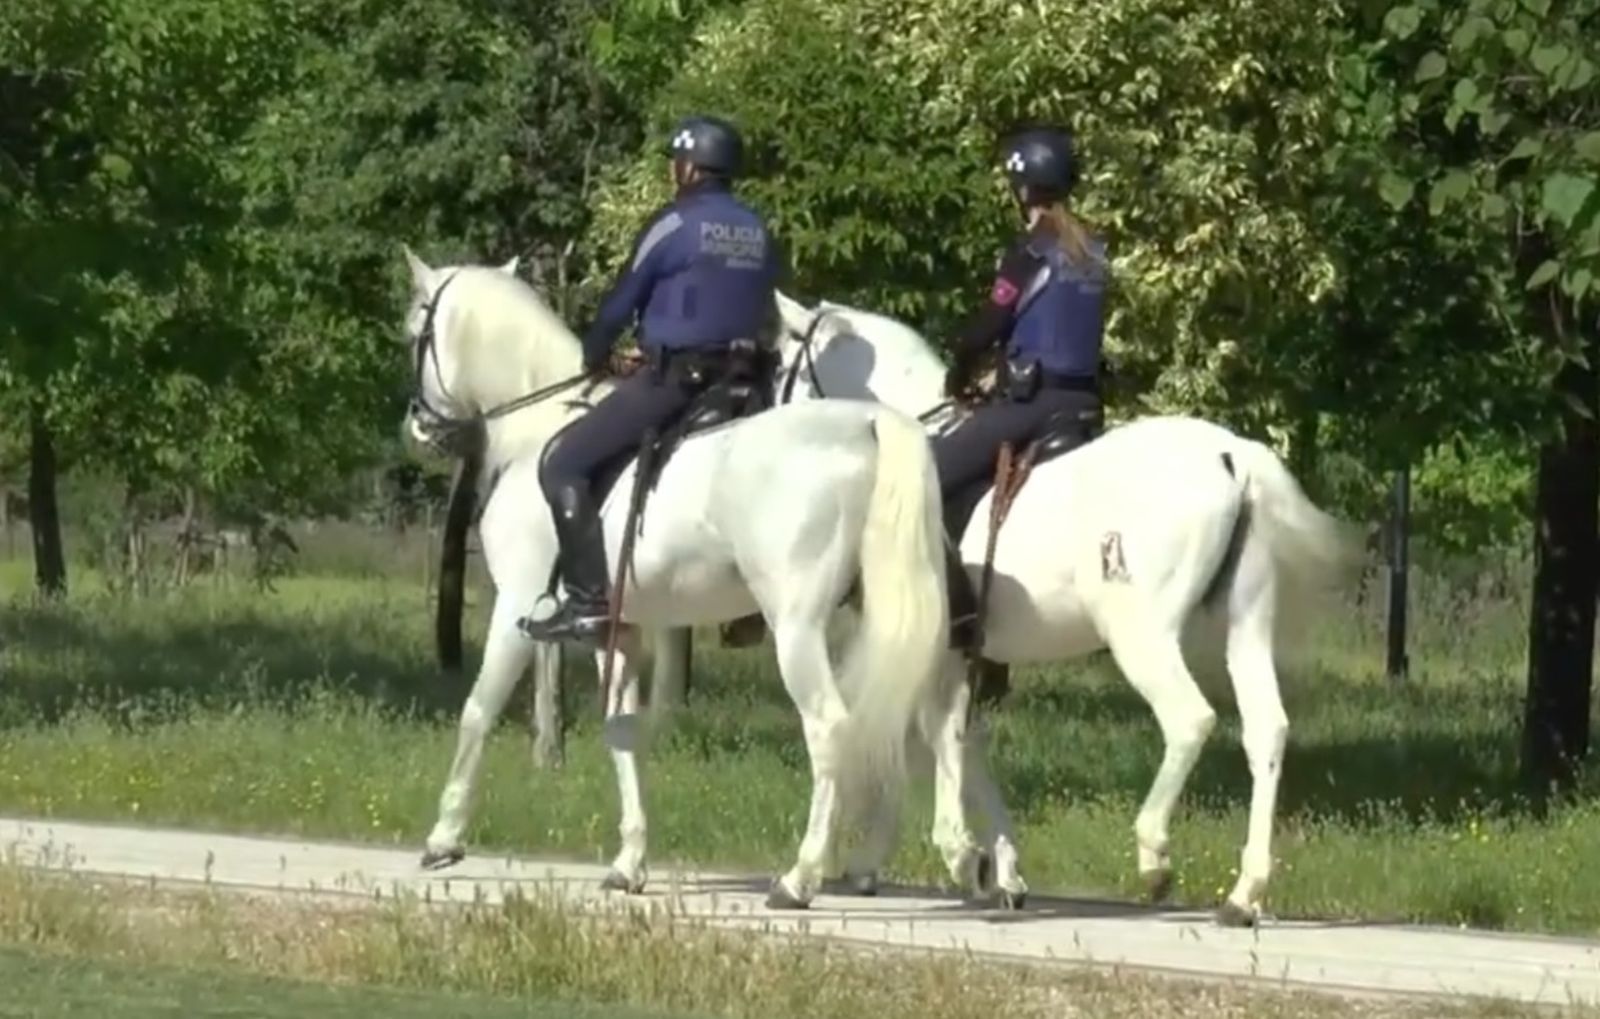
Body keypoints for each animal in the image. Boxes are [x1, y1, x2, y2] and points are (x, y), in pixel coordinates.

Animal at [396, 248, 970, 910]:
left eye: (414, 331)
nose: (418, 425)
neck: (534, 426)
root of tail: (868, 425)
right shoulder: (617, 629)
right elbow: (621, 732)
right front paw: (629, 863)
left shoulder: (517, 605)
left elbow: (478, 710)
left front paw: (444, 837)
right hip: (885, 623)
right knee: (922, 720)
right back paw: (935, 859)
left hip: (798, 629)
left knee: (832, 727)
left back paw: (800, 877)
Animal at [716, 289, 1360, 926]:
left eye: (782, 363)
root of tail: (1232, 454)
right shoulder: (960, 654)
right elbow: (958, 739)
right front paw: (996, 868)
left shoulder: (923, 646)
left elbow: (924, 735)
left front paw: (932, 855)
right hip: (1247, 626)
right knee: (1266, 731)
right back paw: (1244, 894)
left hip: (1141, 635)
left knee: (1189, 720)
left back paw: (1154, 855)